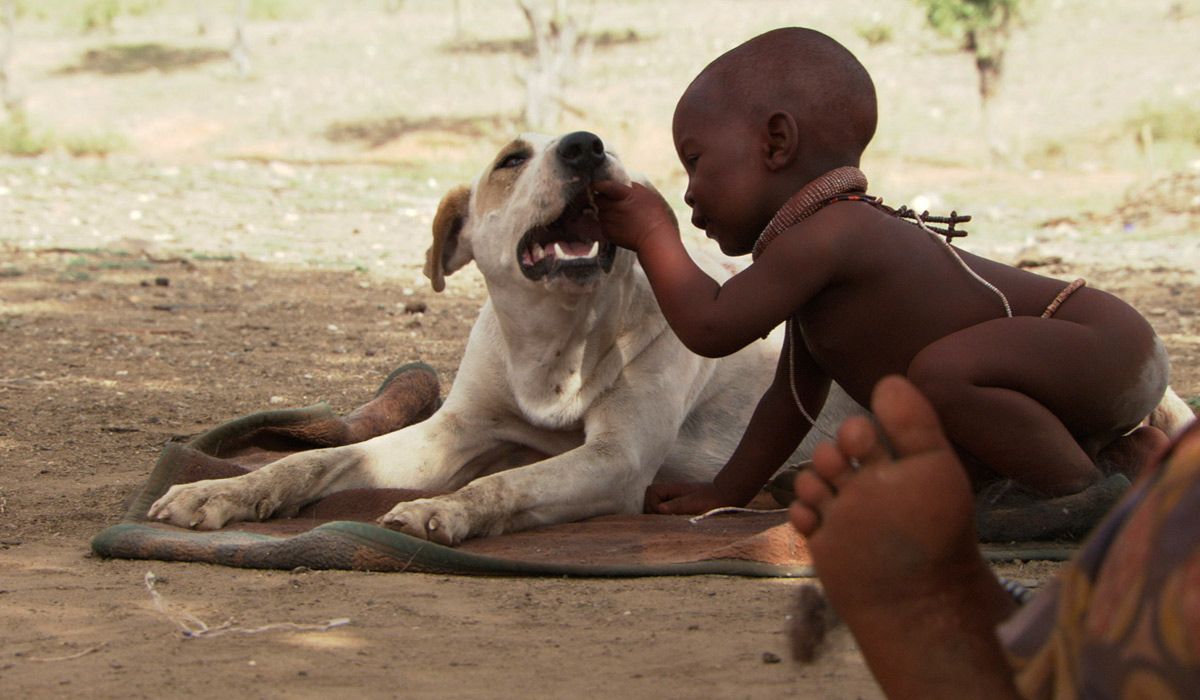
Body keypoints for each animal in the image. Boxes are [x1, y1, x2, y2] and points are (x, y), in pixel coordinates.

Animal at [150, 132, 864, 547]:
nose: (584, 146)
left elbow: (510, 484)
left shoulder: (619, 460)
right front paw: (222, 491)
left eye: (604, 146)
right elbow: (313, 460)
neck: (556, 343)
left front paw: (447, 511)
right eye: (511, 160)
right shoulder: (454, 432)